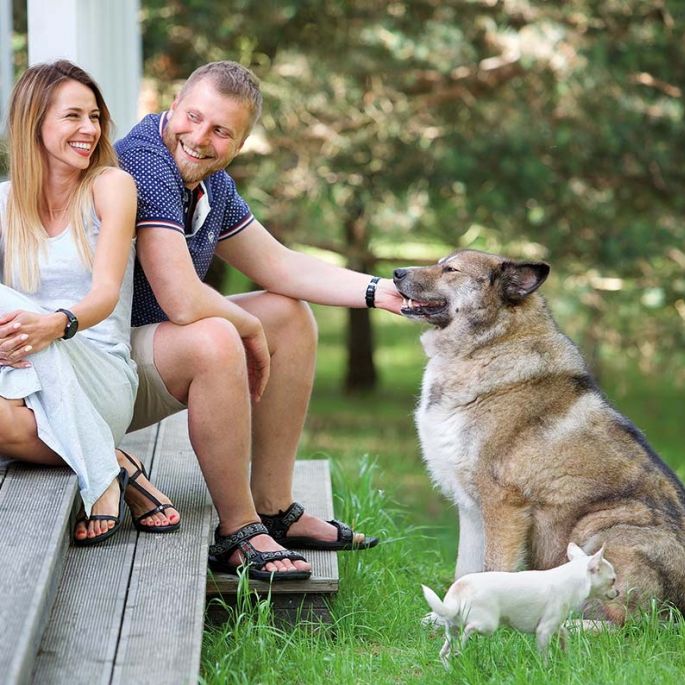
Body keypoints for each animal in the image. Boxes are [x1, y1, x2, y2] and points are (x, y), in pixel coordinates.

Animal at [392, 250, 684, 620]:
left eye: (451, 269)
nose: (395, 272)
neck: (490, 345)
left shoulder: (504, 504)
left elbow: (492, 567)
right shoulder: (472, 511)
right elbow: (464, 570)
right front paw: (447, 618)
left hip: (598, 529)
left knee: (624, 622)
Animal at [420, 540, 616, 664]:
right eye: (613, 580)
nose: (618, 592)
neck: (571, 579)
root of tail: (460, 589)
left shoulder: (554, 625)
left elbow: (564, 634)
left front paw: (565, 654)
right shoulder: (544, 630)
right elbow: (544, 654)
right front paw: (546, 668)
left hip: (451, 628)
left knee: (445, 651)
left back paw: (449, 667)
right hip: (487, 624)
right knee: (468, 631)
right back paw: (461, 649)